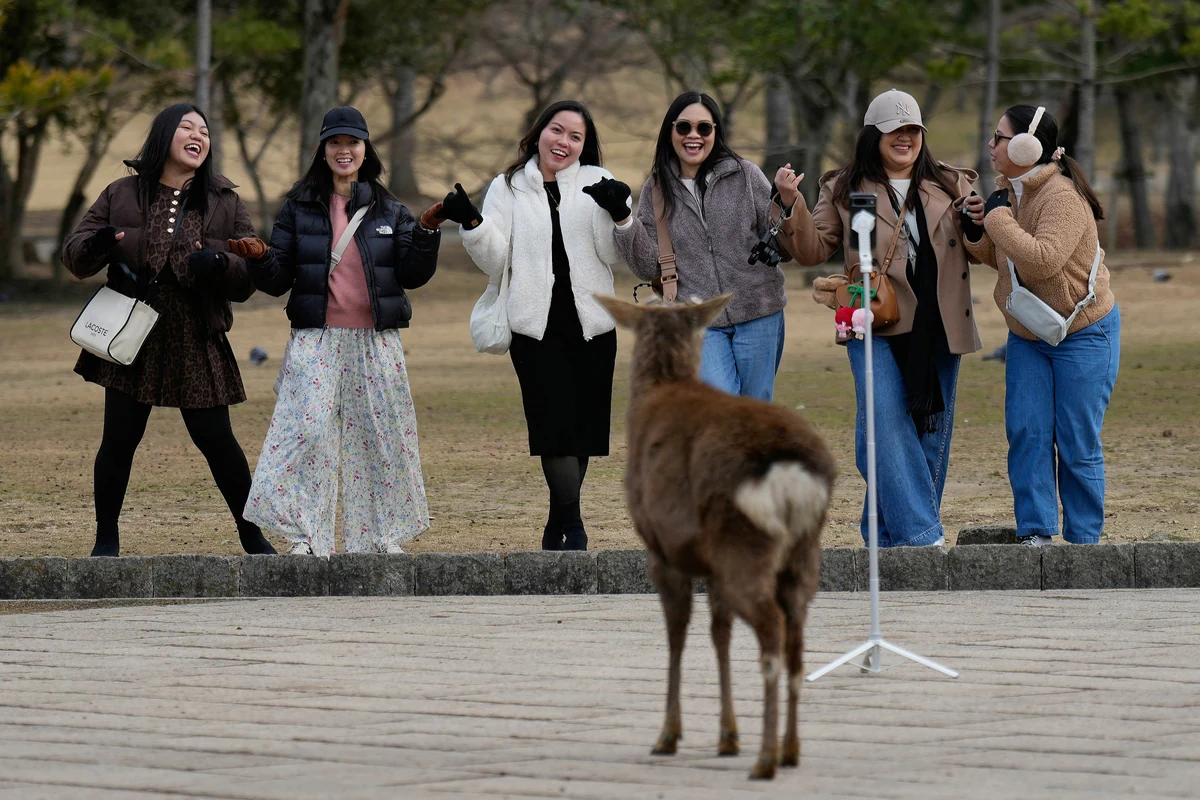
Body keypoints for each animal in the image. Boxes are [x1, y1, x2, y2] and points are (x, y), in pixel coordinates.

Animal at [594, 293, 836, 780]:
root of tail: (790, 471)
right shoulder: (709, 562)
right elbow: (719, 633)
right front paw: (727, 736)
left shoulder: (660, 547)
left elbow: (677, 633)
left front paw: (668, 735)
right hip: (800, 553)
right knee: (796, 640)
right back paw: (790, 750)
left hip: (743, 543)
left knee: (771, 631)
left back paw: (765, 760)